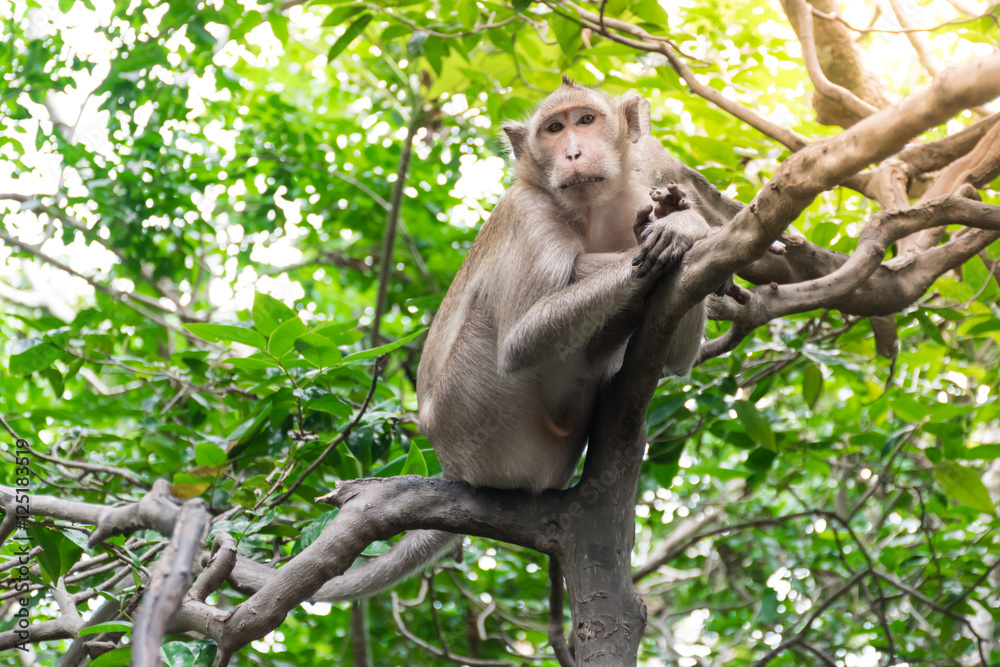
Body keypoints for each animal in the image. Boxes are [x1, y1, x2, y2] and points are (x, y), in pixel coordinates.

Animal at [316, 79, 732, 604]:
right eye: (554, 129)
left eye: (586, 120)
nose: (573, 152)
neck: (589, 213)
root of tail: (452, 466)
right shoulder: (526, 210)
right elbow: (520, 341)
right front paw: (686, 225)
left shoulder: (633, 197)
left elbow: (676, 354)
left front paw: (680, 220)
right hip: (478, 420)